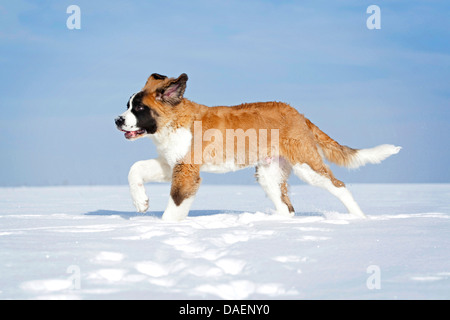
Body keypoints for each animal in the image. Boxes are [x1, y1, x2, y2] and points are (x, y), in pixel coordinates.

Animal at [115, 73, 400, 220]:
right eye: (128, 105)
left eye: (139, 108)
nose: (118, 120)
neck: (173, 121)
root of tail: (298, 114)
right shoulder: (172, 163)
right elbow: (135, 168)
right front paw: (141, 202)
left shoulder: (186, 170)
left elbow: (175, 204)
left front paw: (164, 228)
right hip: (268, 173)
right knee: (286, 208)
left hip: (306, 164)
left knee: (339, 186)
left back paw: (358, 219)